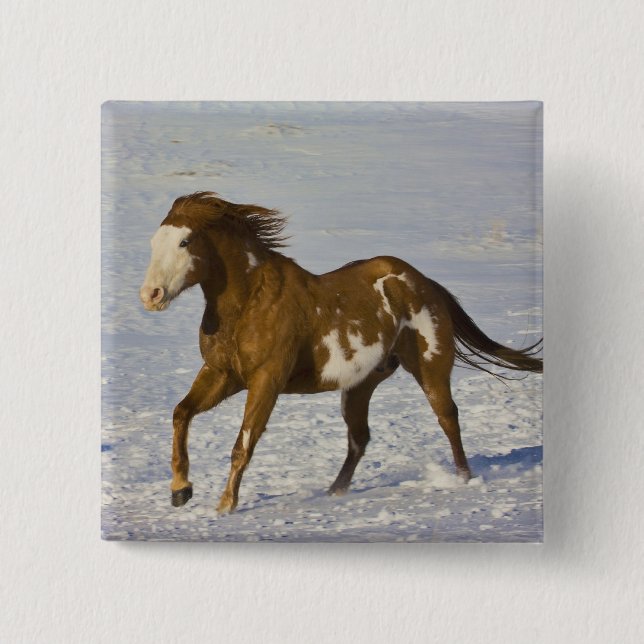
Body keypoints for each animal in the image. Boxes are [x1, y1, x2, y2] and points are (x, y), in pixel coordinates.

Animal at [139, 192, 542, 513]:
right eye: (154, 241)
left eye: (185, 241)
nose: (151, 295)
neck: (250, 303)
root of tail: (424, 283)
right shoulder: (222, 373)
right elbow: (181, 414)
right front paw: (180, 490)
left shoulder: (266, 379)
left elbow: (244, 443)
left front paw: (225, 504)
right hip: (361, 384)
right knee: (359, 438)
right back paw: (334, 491)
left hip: (430, 368)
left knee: (448, 418)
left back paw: (462, 480)